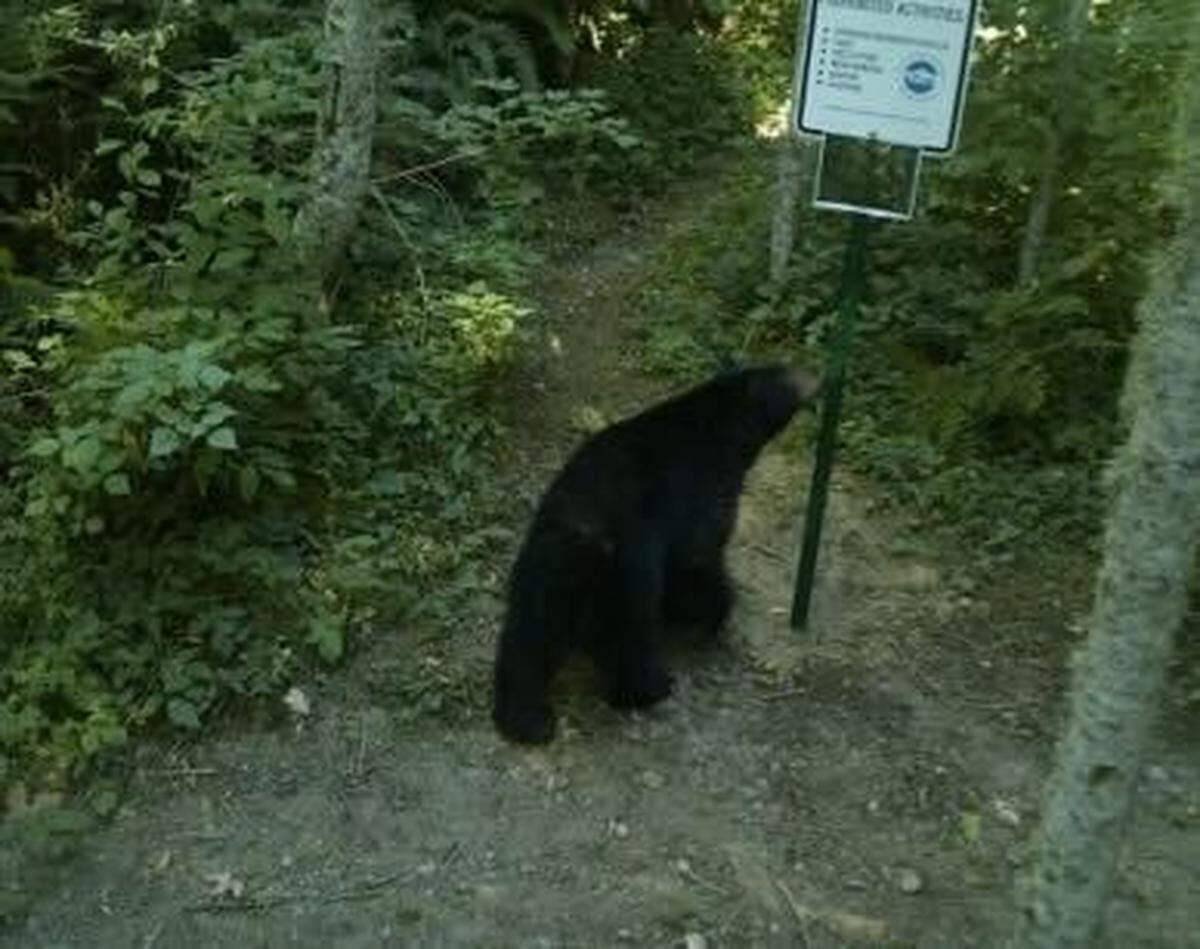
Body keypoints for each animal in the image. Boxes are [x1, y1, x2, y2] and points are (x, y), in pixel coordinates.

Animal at [493, 365, 819, 744]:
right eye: (788, 375)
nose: (819, 378)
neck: (721, 428)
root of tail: (580, 540)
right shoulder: (701, 488)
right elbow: (697, 555)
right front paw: (710, 615)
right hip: (623, 576)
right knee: (629, 638)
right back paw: (650, 688)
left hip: (543, 570)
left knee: (527, 638)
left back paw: (526, 718)